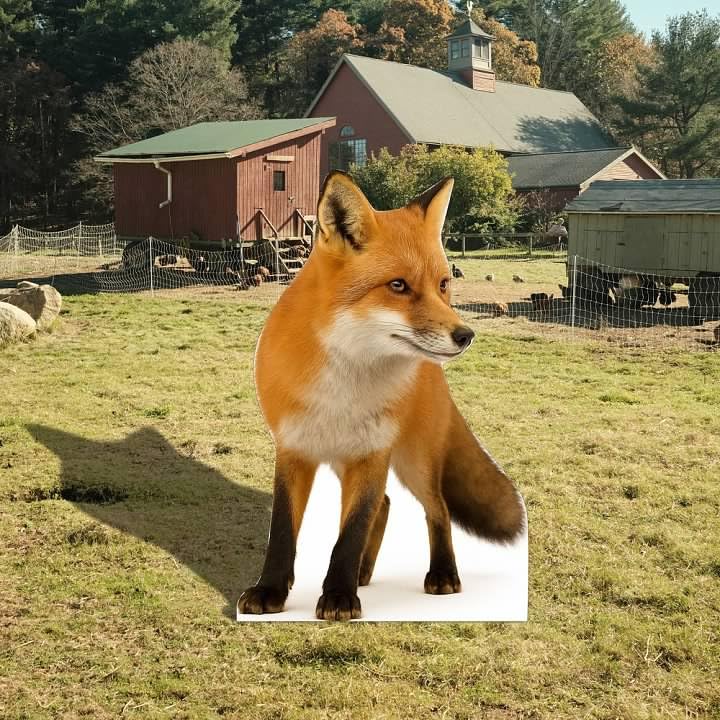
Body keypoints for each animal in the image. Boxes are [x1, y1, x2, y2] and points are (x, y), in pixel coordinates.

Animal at [237, 171, 525, 621]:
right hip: (350, 461)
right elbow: (283, 531)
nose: (465, 336)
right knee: (387, 505)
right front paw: (271, 591)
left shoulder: (372, 451)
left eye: (444, 284)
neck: (344, 387)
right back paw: (364, 573)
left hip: (413, 460)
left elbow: (351, 531)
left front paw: (338, 596)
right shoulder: (293, 449)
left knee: (437, 507)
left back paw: (442, 574)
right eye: (398, 286)